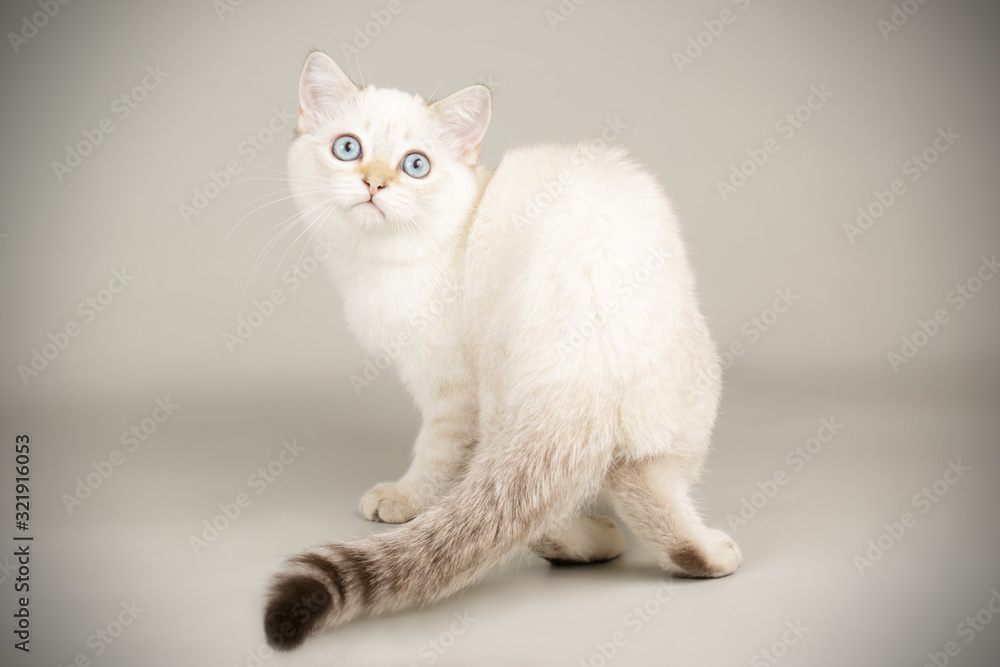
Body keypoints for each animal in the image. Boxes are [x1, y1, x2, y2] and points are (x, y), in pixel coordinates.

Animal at [262, 51, 740, 652]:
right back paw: (686, 554)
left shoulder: (450, 385)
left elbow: (437, 453)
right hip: (678, 414)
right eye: (348, 149)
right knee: (638, 487)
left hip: (506, 395)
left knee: (534, 516)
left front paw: (404, 500)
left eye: (415, 165)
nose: (374, 183)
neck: (381, 261)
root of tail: (588, 364)